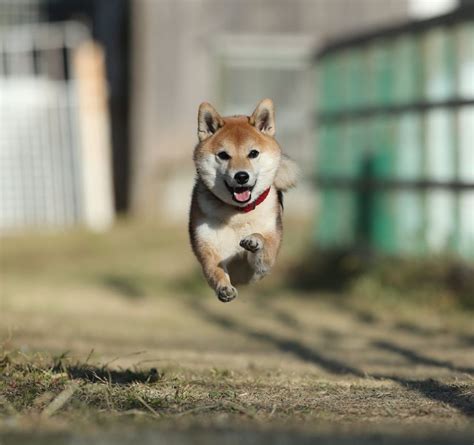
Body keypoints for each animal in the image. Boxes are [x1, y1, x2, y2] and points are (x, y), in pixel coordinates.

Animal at [188, 99, 296, 302]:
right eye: (223, 155)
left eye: (253, 153)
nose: (241, 176)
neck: (239, 213)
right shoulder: (209, 248)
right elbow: (215, 270)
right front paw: (224, 288)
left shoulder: (258, 268)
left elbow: (262, 245)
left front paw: (255, 241)